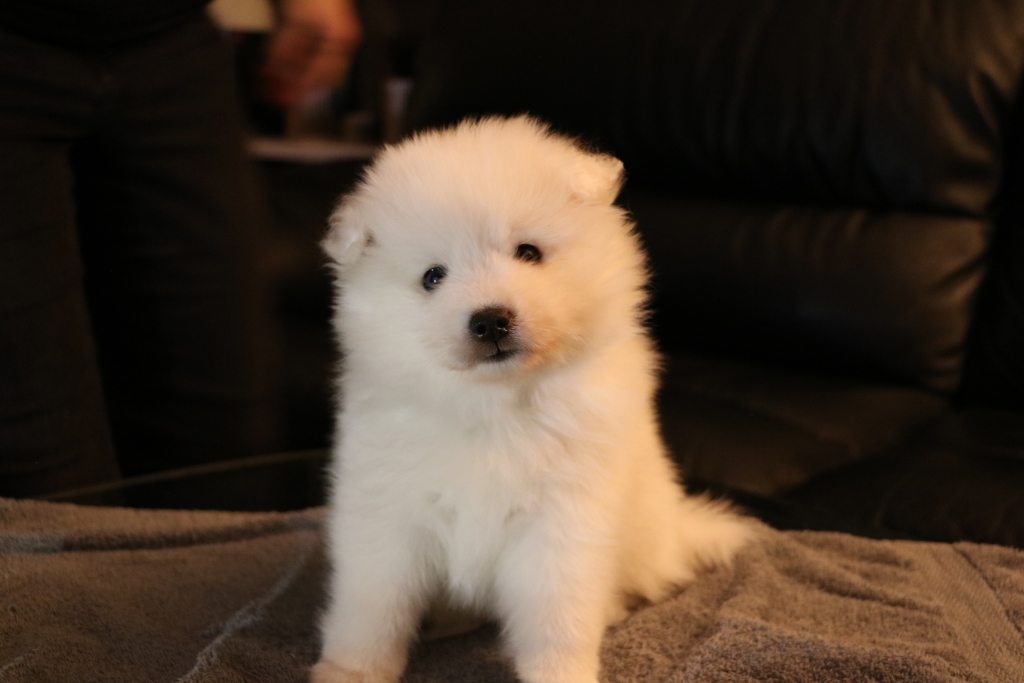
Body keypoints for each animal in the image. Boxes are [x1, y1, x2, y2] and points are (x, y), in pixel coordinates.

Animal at [312, 116, 754, 683]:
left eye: (528, 252)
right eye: (433, 276)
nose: (490, 320)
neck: (495, 405)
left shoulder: (562, 524)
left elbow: (557, 618)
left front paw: (562, 673)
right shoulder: (386, 510)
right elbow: (372, 605)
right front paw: (349, 669)